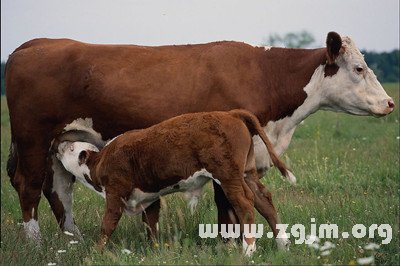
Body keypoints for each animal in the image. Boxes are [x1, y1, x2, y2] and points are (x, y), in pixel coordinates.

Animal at [6, 31, 394, 241]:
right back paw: (36, 243)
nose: (390, 103)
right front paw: (228, 244)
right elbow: (227, 205)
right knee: (30, 187)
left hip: (59, 142)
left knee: (59, 189)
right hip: (32, 139)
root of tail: (32, 44)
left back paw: (73, 242)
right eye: (359, 68)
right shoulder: (224, 158)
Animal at [56, 109, 292, 256]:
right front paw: (153, 250)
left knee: (244, 204)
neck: (100, 161)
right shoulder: (149, 198)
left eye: (71, 148)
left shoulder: (115, 193)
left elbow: (107, 225)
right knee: (264, 200)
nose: (59, 145)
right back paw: (283, 243)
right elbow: (150, 224)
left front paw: (96, 251)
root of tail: (230, 113)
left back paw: (248, 249)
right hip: (246, 173)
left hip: (227, 175)